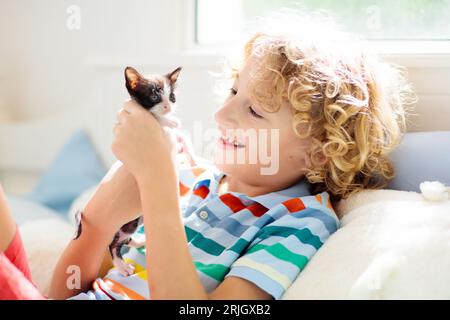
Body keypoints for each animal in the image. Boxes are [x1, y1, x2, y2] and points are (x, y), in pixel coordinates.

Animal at [109, 66, 195, 276]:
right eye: (155, 96)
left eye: (172, 96)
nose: (168, 107)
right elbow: (154, 117)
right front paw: (169, 121)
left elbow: (184, 141)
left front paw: (191, 156)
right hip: (125, 223)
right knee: (113, 244)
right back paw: (121, 266)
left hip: (134, 221)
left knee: (124, 239)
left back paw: (139, 241)